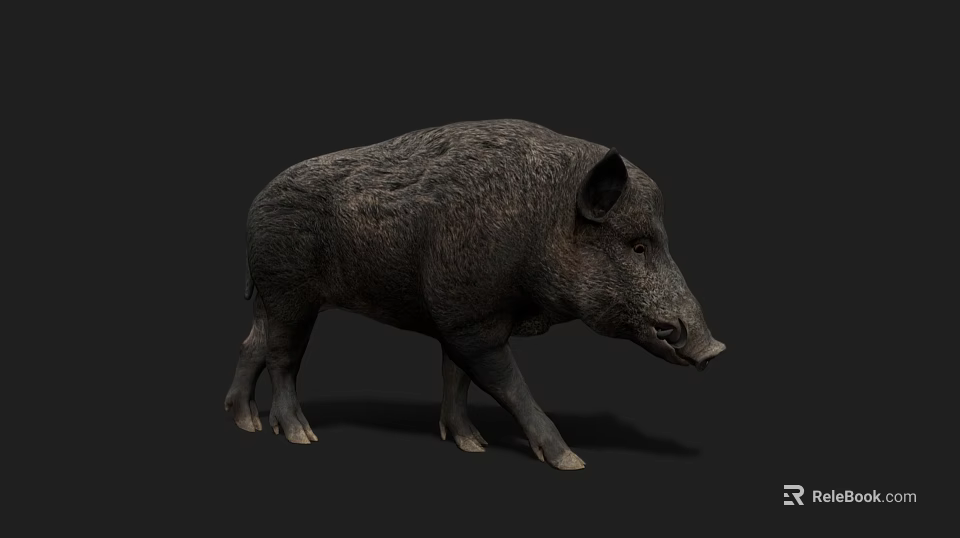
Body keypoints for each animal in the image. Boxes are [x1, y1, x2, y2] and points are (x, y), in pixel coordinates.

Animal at [224, 119, 726, 470]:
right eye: (637, 245)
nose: (715, 348)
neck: (539, 228)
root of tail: (254, 205)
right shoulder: (470, 318)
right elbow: (507, 384)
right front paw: (571, 462)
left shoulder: (455, 317)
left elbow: (456, 377)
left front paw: (473, 445)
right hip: (289, 294)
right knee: (283, 357)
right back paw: (300, 436)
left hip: (269, 298)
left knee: (252, 345)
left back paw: (245, 422)